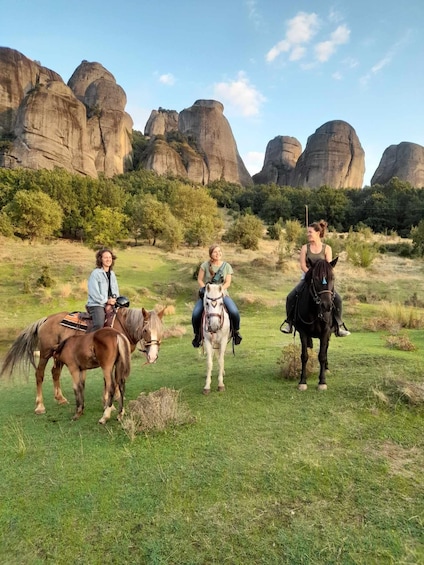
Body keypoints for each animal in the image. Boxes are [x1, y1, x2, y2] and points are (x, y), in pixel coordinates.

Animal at [0, 306, 164, 412]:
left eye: (161, 330)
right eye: (145, 330)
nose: (153, 356)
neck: (122, 327)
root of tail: (47, 319)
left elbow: (114, 379)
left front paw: (113, 399)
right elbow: (109, 379)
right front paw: (108, 401)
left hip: (58, 356)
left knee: (55, 373)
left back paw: (60, 398)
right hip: (45, 353)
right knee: (39, 374)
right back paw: (40, 406)